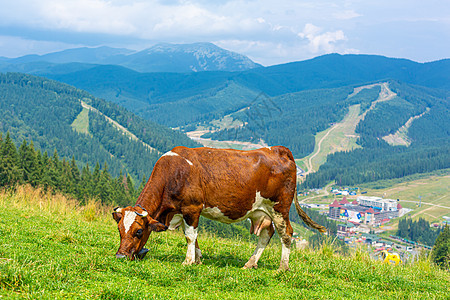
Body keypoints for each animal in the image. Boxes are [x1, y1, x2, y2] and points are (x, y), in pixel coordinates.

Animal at [111, 146, 324, 270]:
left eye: (139, 231)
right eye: (119, 230)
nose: (120, 256)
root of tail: (279, 150)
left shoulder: (192, 207)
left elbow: (190, 236)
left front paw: (188, 261)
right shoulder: (183, 211)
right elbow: (193, 236)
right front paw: (197, 258)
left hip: (280, 207)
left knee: (286, 233)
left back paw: (282, 267)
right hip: (260, 210)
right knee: (266, 233)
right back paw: (250, 263)